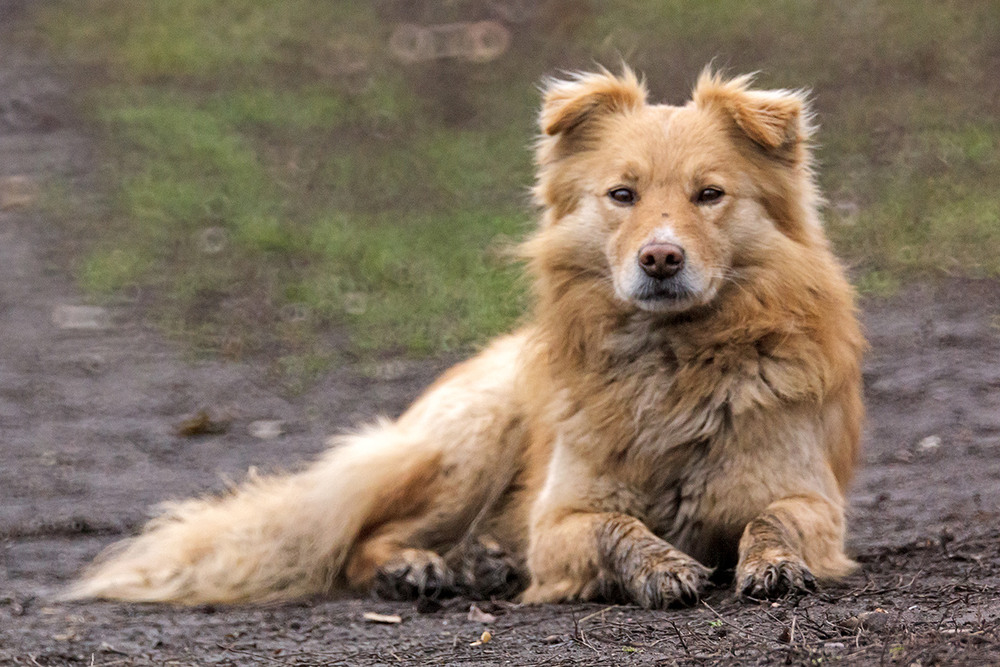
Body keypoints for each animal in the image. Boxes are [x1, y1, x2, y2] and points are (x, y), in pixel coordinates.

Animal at [68, 68, 868, 612]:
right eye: (623, 195)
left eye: (709, 195)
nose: (661, 258)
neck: (671, 363)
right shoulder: (559, 521)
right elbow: (615, 527)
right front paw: (663, 565)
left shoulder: (811, 500)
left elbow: (771, 518)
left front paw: (770, 562)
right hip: (472, 443)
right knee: (362, 540)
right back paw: (421, 567)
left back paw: (481, 561)